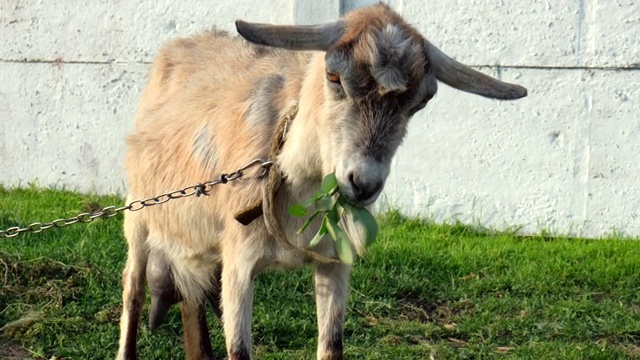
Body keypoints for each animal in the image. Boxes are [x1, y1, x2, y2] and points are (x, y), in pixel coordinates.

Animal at [117, 3, 528, 360]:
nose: (362, 184)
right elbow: (239, 349)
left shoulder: (334, 259)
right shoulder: (238, 258)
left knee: (193, 296)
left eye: (421, 102)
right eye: (333, 77)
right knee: (133, 291)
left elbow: (331, 345)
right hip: (138, 212)